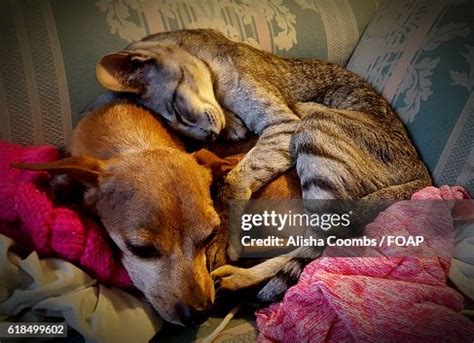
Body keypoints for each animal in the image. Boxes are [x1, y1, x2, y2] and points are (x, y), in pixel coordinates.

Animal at [92, 28, 434, 304]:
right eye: (179, 133)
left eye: (177, 108)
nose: (209, 135)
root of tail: (423, 175)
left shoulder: (283, 125)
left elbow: (233, 182)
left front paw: (221, 242)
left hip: (314, 125)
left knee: (322, 239)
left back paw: (241, 271)